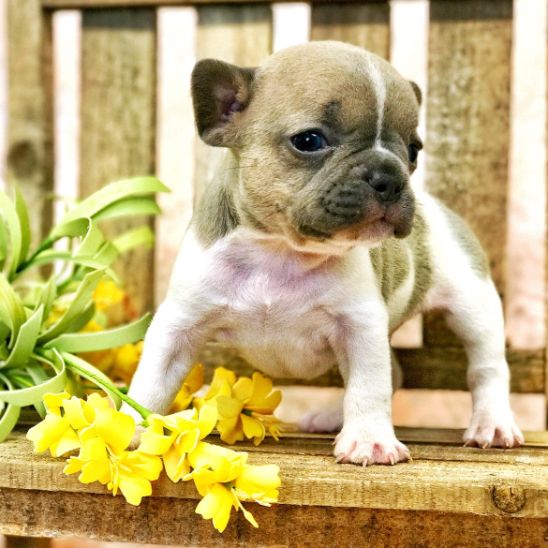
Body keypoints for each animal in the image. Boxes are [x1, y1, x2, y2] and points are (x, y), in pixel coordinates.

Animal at [123, 40, 524, 464]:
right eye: (309, 141)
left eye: (414, 150)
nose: (391, 176)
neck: (281, 253)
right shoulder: (180, 323)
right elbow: (150, 383)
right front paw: (130, 428)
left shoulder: (360, 327)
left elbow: (369, 386)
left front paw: (369, 439)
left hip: (473, 305)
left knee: (486, 367)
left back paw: (493, 423)